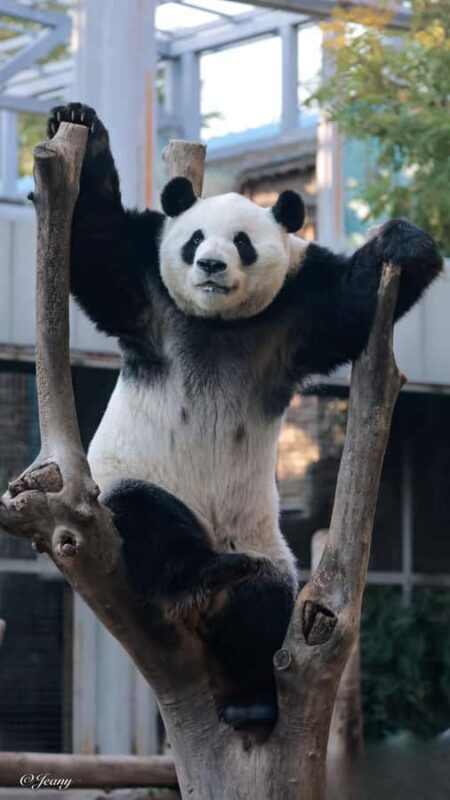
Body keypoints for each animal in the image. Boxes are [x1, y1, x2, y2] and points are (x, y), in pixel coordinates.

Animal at [47, 103, 442, 733]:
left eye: (242, 242)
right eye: (193, 241)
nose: (211, 265)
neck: (218, 323)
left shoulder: (291, 315)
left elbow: (348, 305)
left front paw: (405, 243)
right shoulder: (148, 297)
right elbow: (95, 245)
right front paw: (78, 121)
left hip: (262, 543)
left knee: (262, 609)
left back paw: (250, 694)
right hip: (116, 486)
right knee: (146, 518)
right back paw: (198, 576)